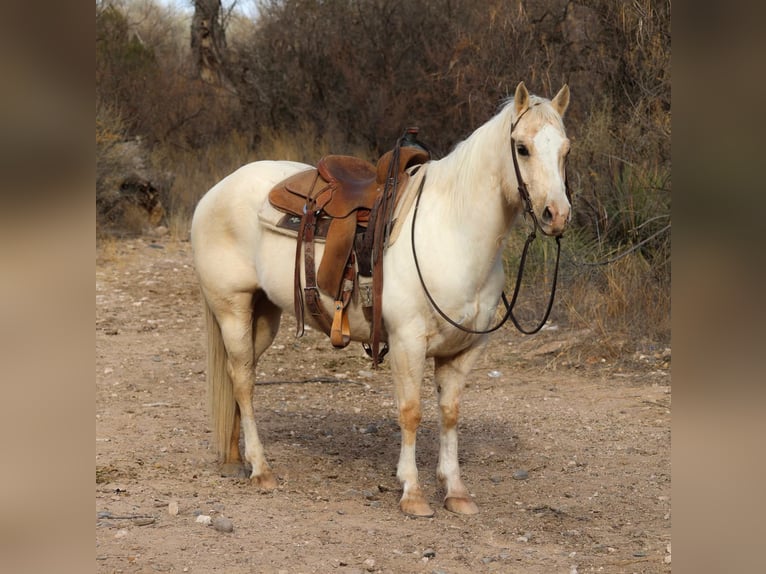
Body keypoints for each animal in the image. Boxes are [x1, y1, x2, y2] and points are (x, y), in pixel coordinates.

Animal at [191, 82, 572, 516]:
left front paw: (455, 491)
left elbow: (449, 414)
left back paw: (236, 460)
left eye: (565, 150)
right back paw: (261, 469)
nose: (556, 215)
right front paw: (413, 493)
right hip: (232, 308)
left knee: (241, 377)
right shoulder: (408, 341)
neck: (453, 231)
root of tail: (215, 191)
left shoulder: (464, 350)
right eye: (522, 148)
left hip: (264, 313)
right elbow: (411, 412)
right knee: (243, 381)